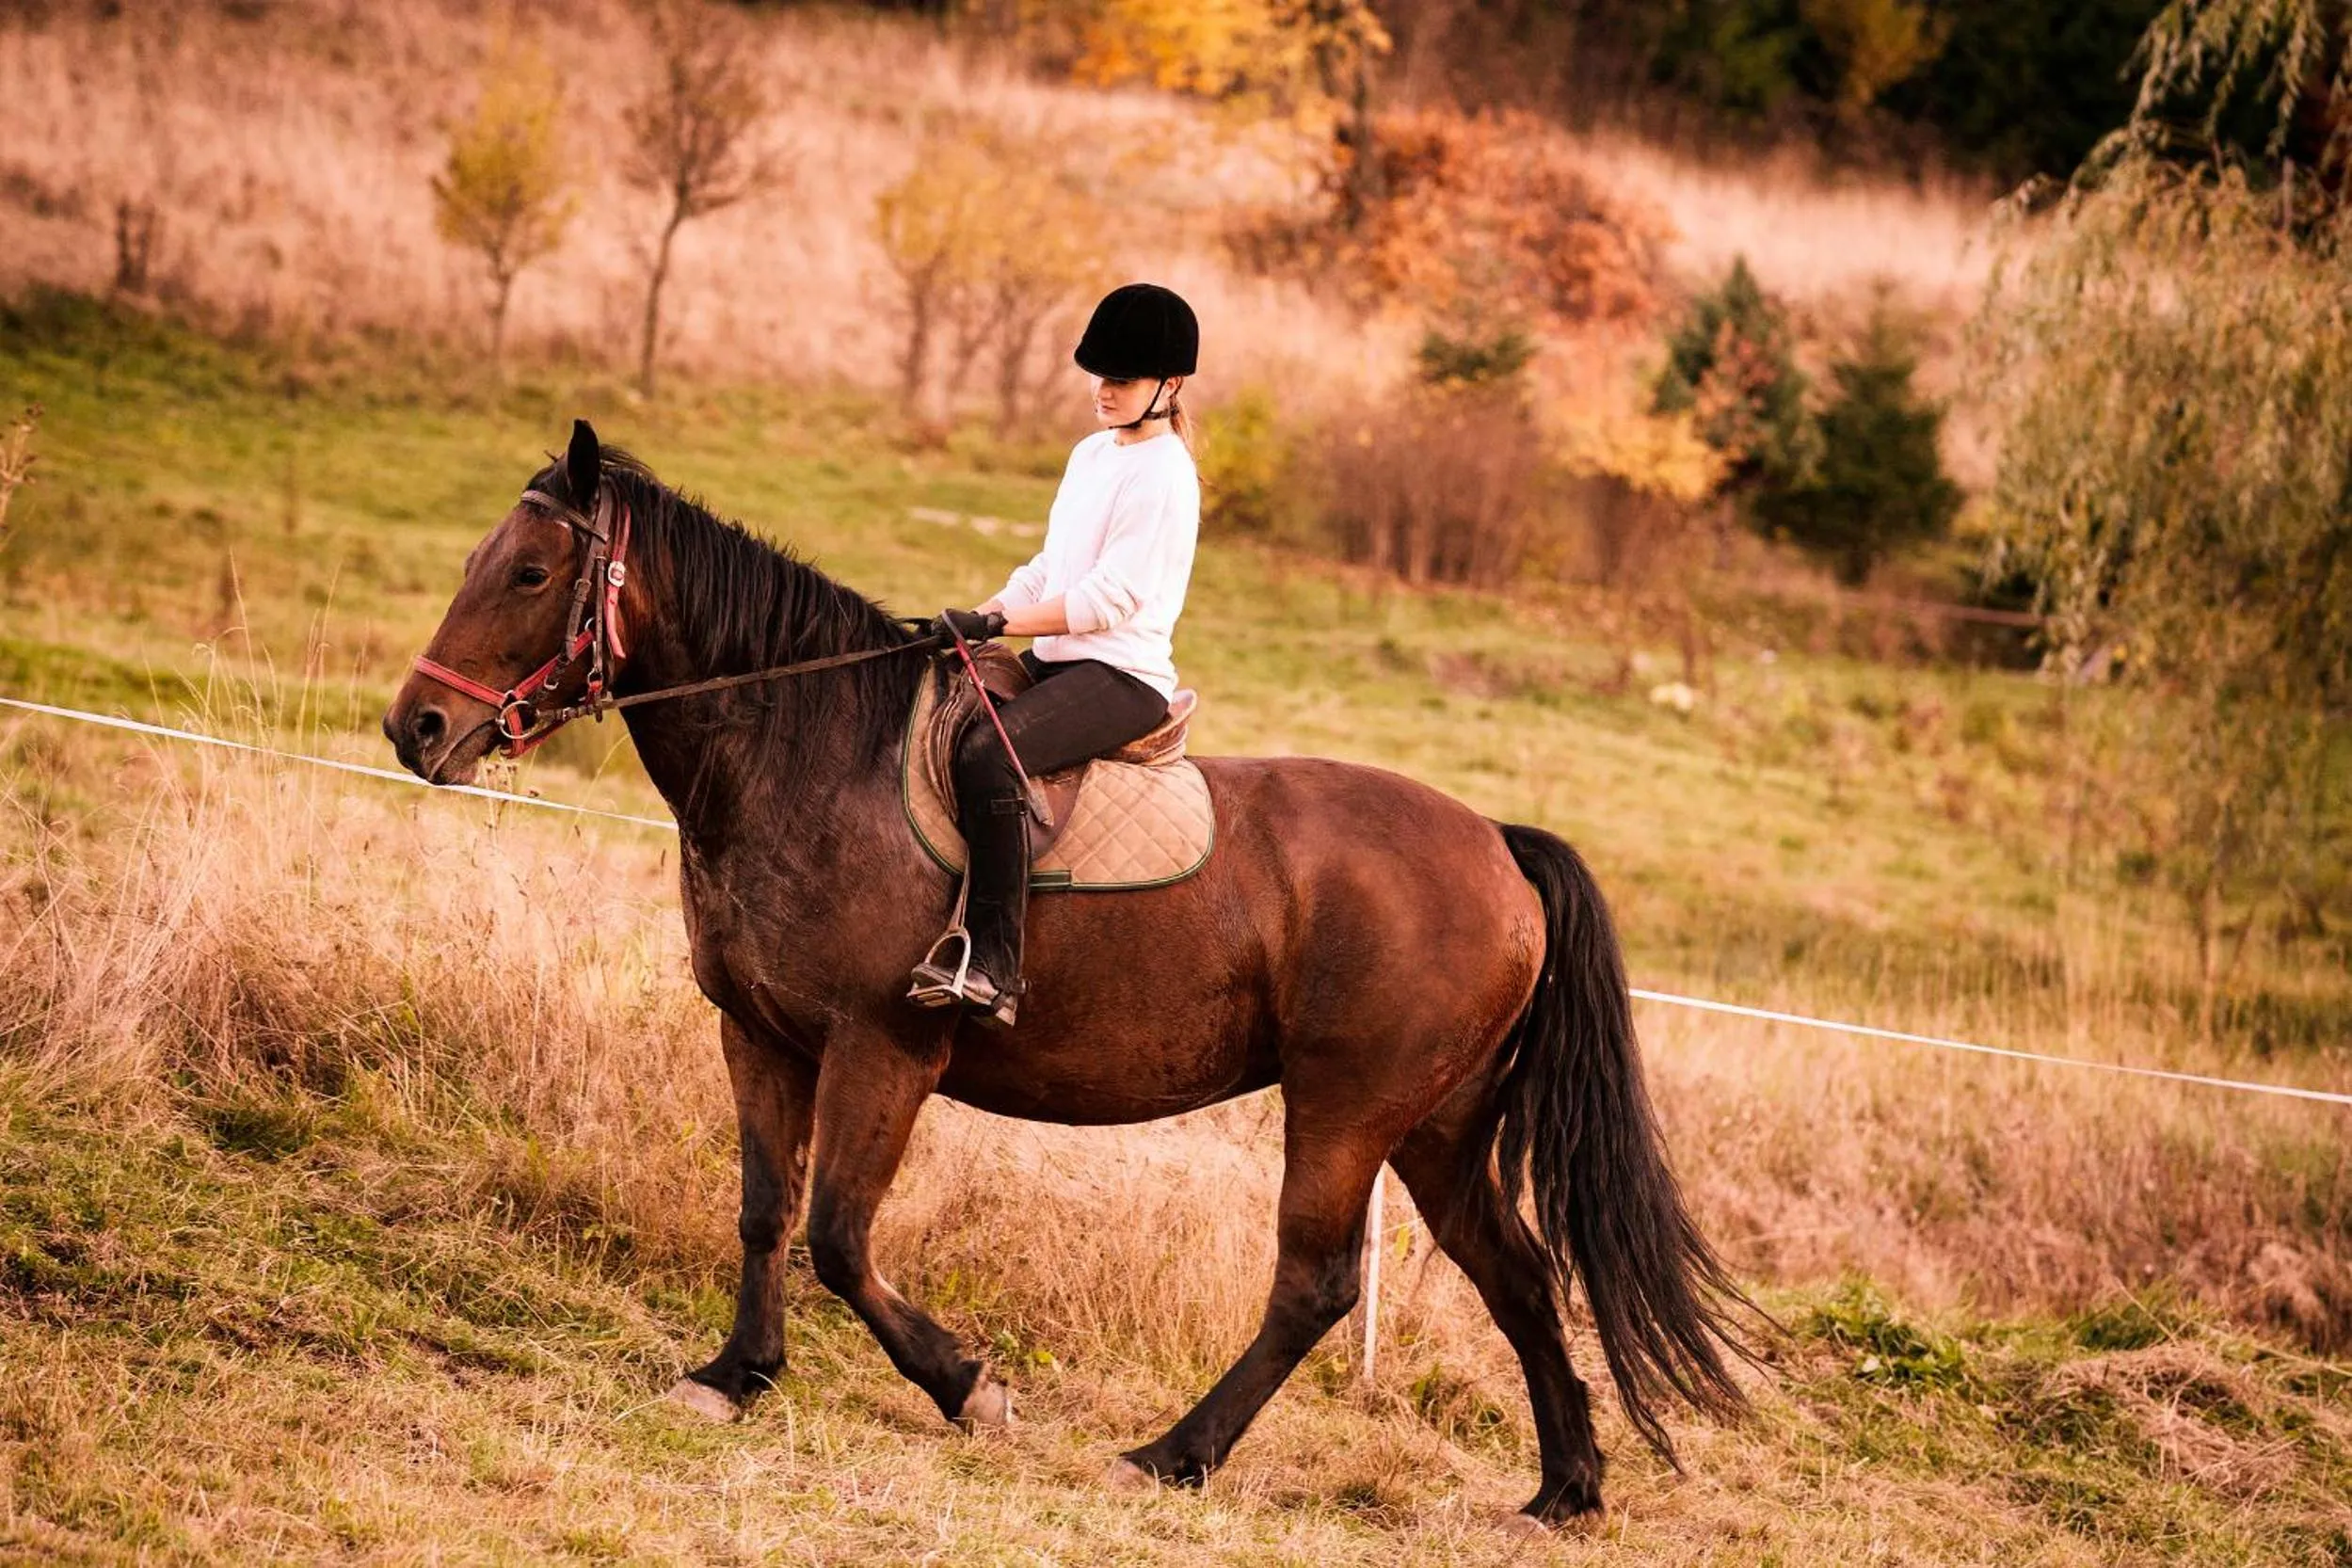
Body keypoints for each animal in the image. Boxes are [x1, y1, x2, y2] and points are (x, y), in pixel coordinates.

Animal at [382, 420, 1760, 1527]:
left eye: (531, 572)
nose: (416, 729)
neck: (803, 755)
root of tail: (1497, 847)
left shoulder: (884, 1048)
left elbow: (838, 1234)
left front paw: (968, 1389)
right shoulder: (759, 1033)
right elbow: (766, 1212)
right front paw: (736, 1376)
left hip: (1347, 1108)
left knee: (1315, 1283)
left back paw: (1169, 1455)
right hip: (1434, 1123)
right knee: (1517, 1274)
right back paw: (1564, 1488)